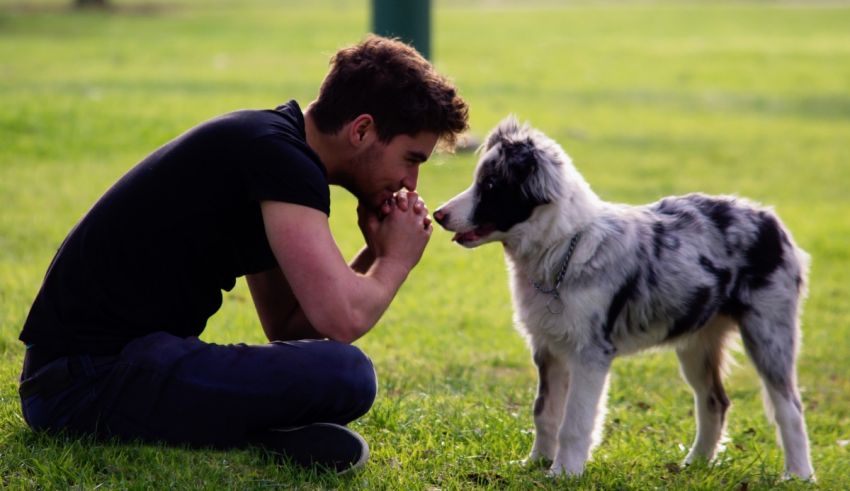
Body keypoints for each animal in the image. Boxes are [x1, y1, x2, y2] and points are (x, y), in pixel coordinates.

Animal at [434, 116, 812, 480]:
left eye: (491, 186)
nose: (438, 215)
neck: (564, 247)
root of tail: (769, 218)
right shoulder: (548, 347)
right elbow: (544, 412)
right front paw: (536, 463)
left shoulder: (590, 352)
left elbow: (575, 420)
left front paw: (564, 473)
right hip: (697, 341)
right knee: (715, 401)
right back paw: (695, 464)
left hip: (769, 333)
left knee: (790, 406)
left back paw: (798, 475)